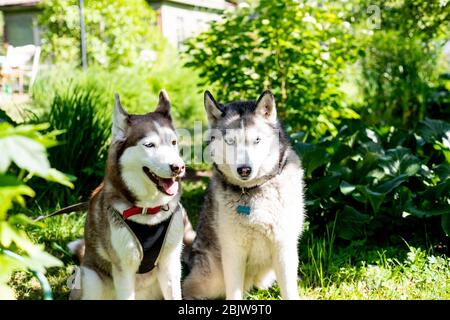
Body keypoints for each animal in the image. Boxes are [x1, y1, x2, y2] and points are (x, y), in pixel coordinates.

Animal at [70, 90, 188, 300]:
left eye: (173, 142)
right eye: (149, 145)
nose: (179, 167)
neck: (149, 211)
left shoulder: (171, 264)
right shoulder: (124, 271)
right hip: (91, 278)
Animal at [183, 89, 306, 300]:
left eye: (257, 140)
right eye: (230, 141)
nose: (244, 170)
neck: (252, 192)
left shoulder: (284, 246)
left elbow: (290, 292)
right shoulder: (233, 252)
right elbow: (233, 293)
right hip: (211, 280)